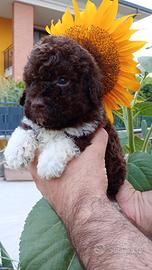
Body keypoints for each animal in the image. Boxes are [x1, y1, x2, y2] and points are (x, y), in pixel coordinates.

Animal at [19, 34, 126, 199]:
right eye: (31, 82)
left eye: (62, 80)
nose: (36, 104)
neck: (56, 126)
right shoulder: (34, 120)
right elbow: (27, 127)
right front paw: (16, 151)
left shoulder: (87, 127)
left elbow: (66, 139)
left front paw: (48, 163)